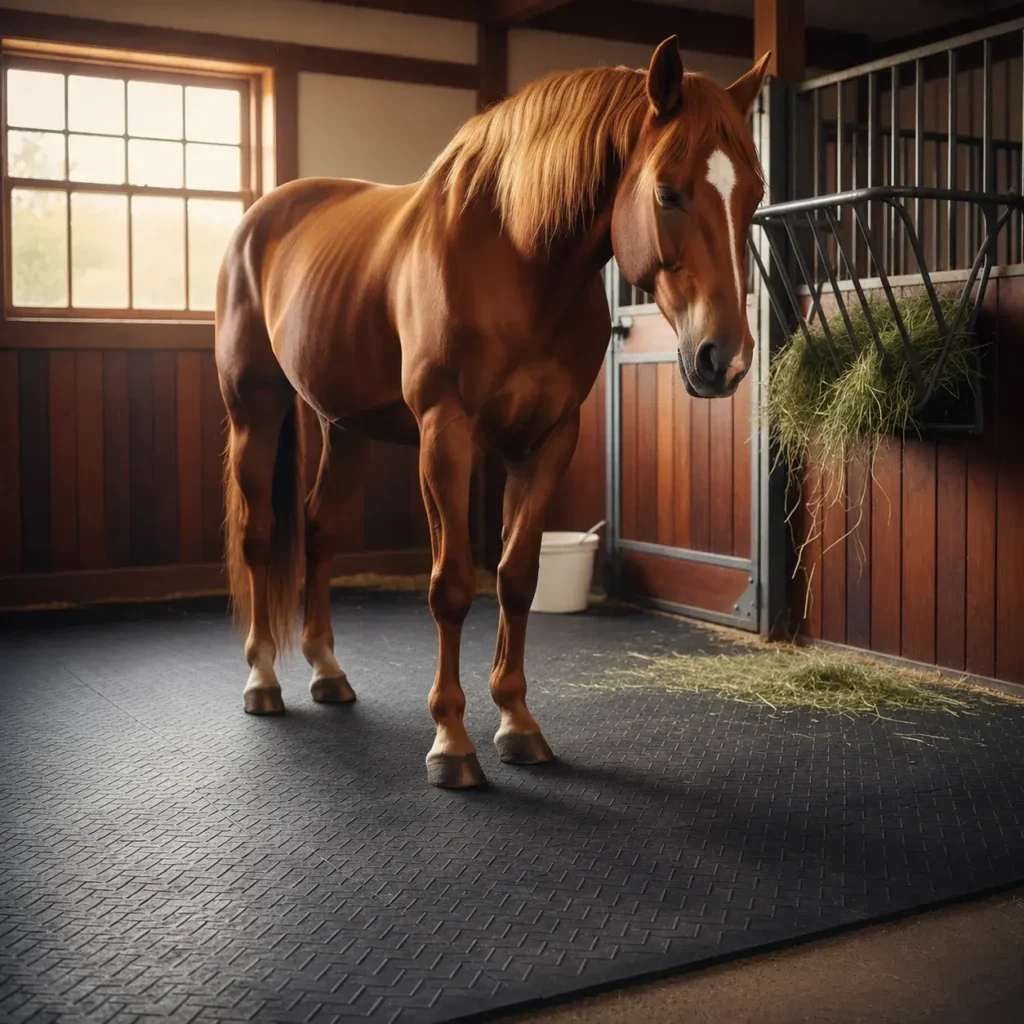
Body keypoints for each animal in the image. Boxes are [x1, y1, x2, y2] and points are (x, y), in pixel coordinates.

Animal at [215, 36, 770, 789]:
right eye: (668, 190)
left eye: (755, 194)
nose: (724, 358)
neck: (516, 257)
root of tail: (262, 217)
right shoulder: (444, 435)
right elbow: (451, 584)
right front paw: (452, 742)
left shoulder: (547, 440)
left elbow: (515, 577)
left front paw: (518, 724)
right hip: (256, 408)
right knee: (260, 535)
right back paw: (263, 681)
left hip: (344, 427)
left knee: (320, 531)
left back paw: (328, 672)